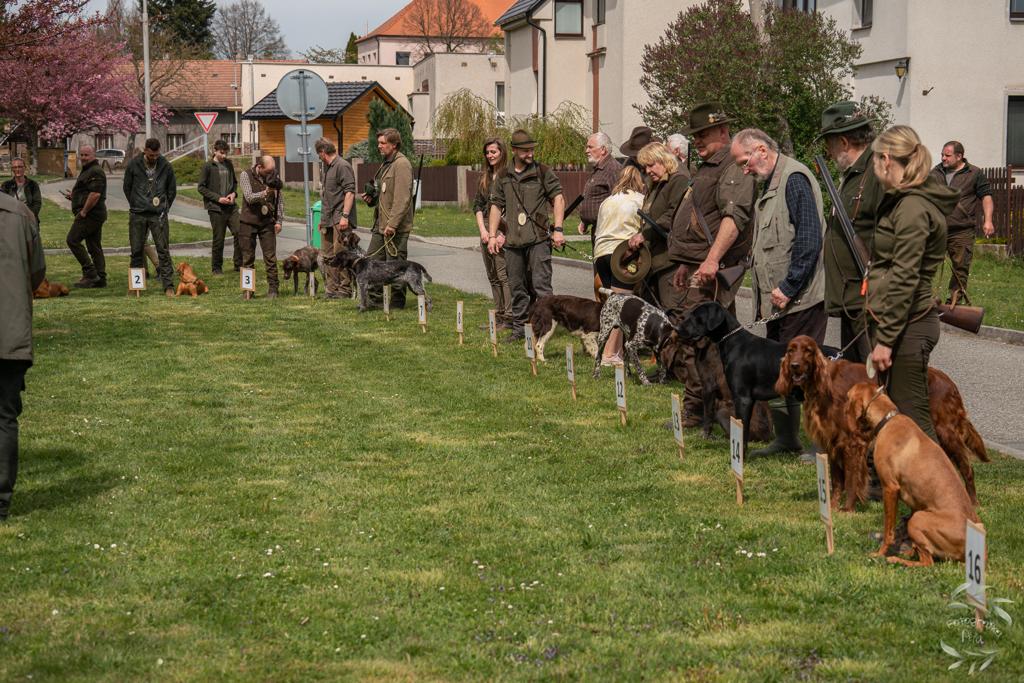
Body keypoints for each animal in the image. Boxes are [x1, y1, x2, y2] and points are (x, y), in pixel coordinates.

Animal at [679, 301, 790, 450]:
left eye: (696, 317)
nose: (677, 329)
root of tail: (768, 435)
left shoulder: (715, 389)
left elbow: (708, 416)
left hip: (722, 411)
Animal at [843, 385, 978, 565]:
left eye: (847, 397)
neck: (888, 420)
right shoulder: (915, 500)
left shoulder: (890, 488)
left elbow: (888, 531)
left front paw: (880, 554)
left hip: (919, 519)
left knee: (928, 563)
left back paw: (896, 559)